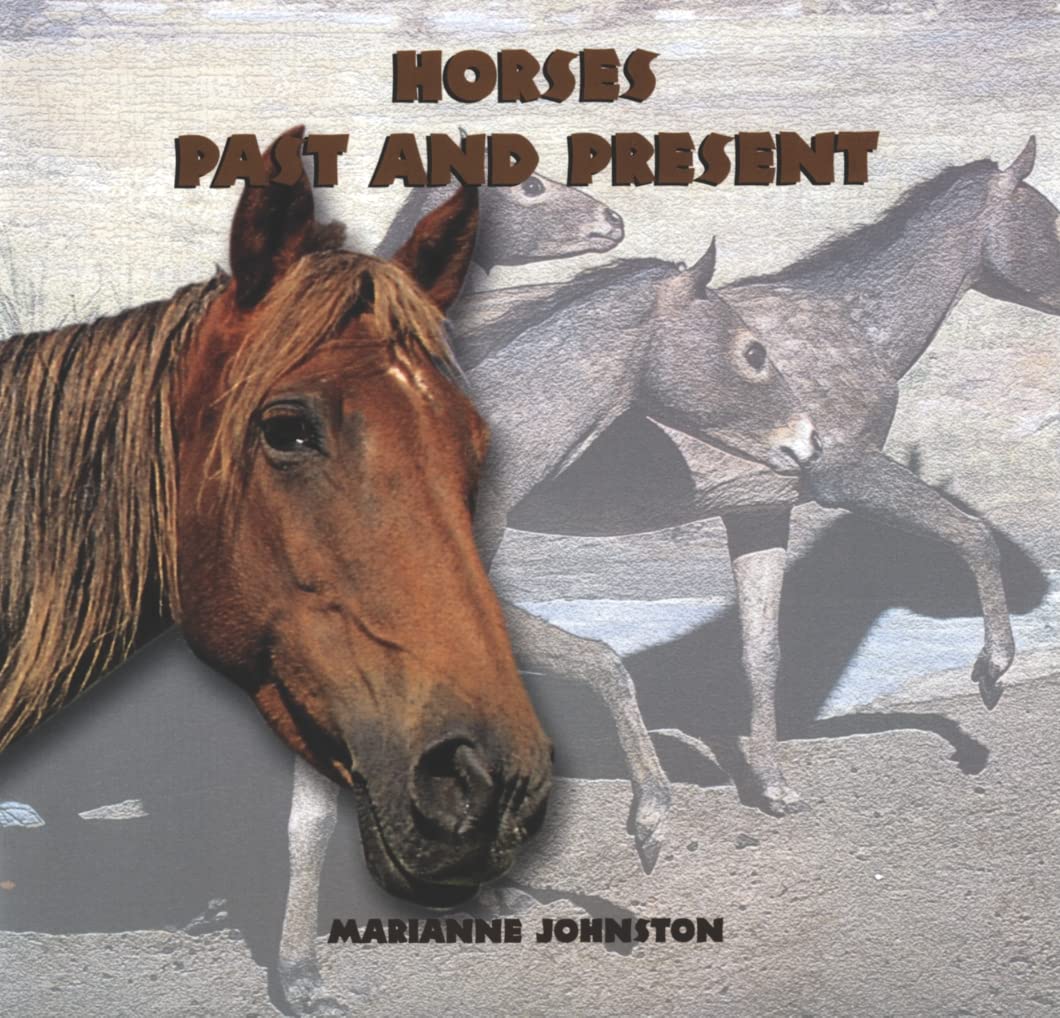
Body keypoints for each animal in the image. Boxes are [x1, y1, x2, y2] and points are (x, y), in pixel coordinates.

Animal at [491, 137, 1058, 821]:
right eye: (1053, 220)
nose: (1041, 589)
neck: (852, 325)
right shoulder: (848, 473)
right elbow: (972, 534)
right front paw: (992, 672)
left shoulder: (760, 511)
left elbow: (761, 652)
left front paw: (773, 785)